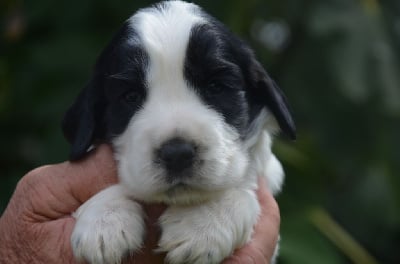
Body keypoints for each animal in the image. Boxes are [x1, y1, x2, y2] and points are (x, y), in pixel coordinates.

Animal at [62, 1, 294, 262]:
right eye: (130, 96)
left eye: (215, 86)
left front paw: (202, 223)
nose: (177, 154)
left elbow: (242, 186)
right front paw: (104, 219)